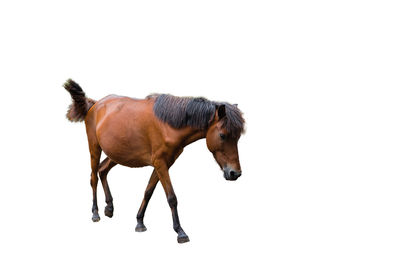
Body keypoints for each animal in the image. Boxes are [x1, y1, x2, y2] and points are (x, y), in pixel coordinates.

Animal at [63, 78, 245, 244]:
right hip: (95, 148)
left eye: (238, 137)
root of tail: (95, 104)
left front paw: (139, 222)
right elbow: (171, 197)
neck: (168, 124)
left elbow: (148, 192)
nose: (234, 173)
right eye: (222, 135)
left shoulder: (163, 164)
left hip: (117, 153)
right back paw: (95, 212)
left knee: (103, 171)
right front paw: (180, 232)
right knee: (93, 177)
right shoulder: (160, 163)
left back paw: (109, 207)